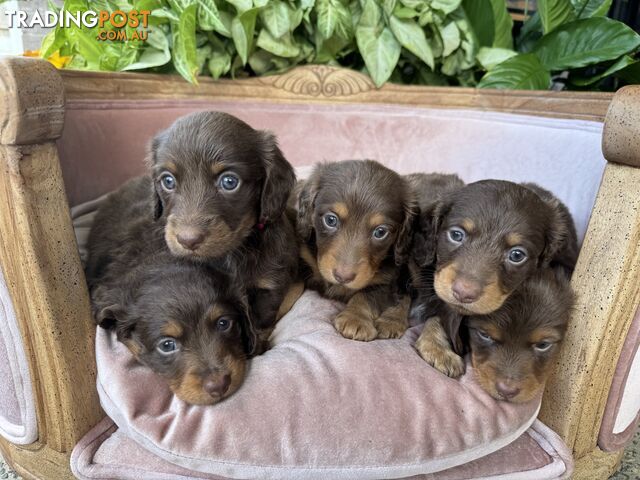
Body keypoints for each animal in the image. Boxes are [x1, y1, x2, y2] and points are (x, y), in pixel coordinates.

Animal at [294, 161, 416, 342]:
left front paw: (356, 319)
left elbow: (366, 295)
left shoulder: (387, 280)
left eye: (380, 232)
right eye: (330, 220)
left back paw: (392, 321)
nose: (343, 277)